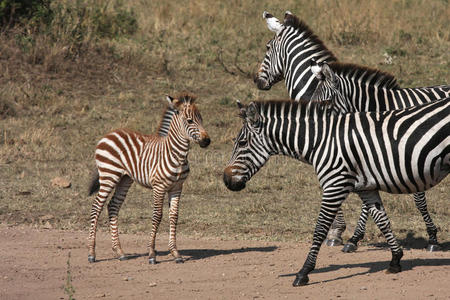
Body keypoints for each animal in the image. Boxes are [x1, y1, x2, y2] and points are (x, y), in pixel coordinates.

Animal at [88, 92, 211, 264]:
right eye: (190, 121)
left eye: (201, 119)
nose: (207, 141)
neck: (176, 154)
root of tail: (109, 134)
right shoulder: (159, 186)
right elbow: (157, 216)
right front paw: (152, 254)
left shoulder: (177, 187)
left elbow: (174, 216)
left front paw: (175, 253)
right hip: (109, 175)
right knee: (96, 207)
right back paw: (91, 253)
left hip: (125, 178)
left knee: (113, 206)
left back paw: (119, 252)